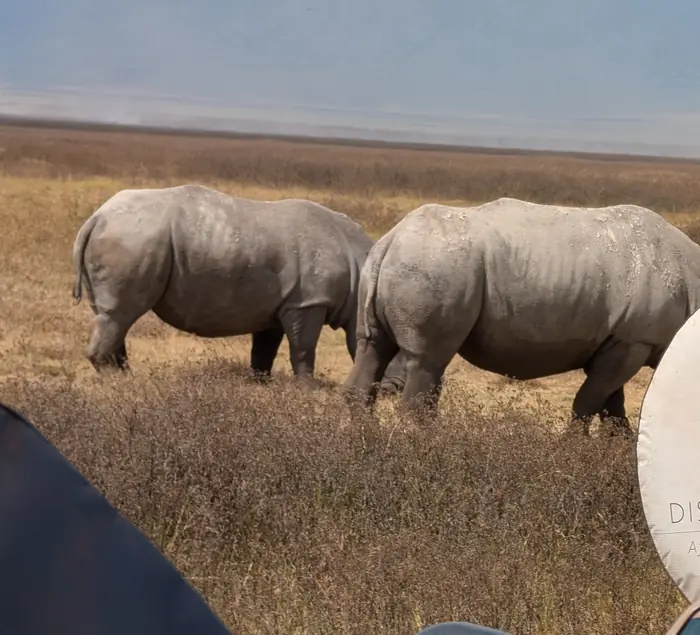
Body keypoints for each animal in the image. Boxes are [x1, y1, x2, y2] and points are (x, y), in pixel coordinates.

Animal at [72, 183, 406, 382]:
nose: (394, 388)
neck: (362, 270)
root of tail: (96, 217)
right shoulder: (308, 302)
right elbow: (303, 348)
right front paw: (307, 388)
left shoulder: (281, 303)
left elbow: (265, 348)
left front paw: (261, 383)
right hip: (131, 238)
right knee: (120, 314)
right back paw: (119, 381)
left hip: (125, 236)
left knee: (111, 316)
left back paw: (124, 374)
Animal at [343, 197, 700, 434]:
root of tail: (390, 240)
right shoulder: (635, 339)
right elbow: (588, 403)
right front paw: (574, 455)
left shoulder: (621, 340)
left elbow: (612, 406)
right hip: (435, 264)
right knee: (427, 360)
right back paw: (426, 446)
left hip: (392, 266)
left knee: (372, 346)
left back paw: (363, 445)